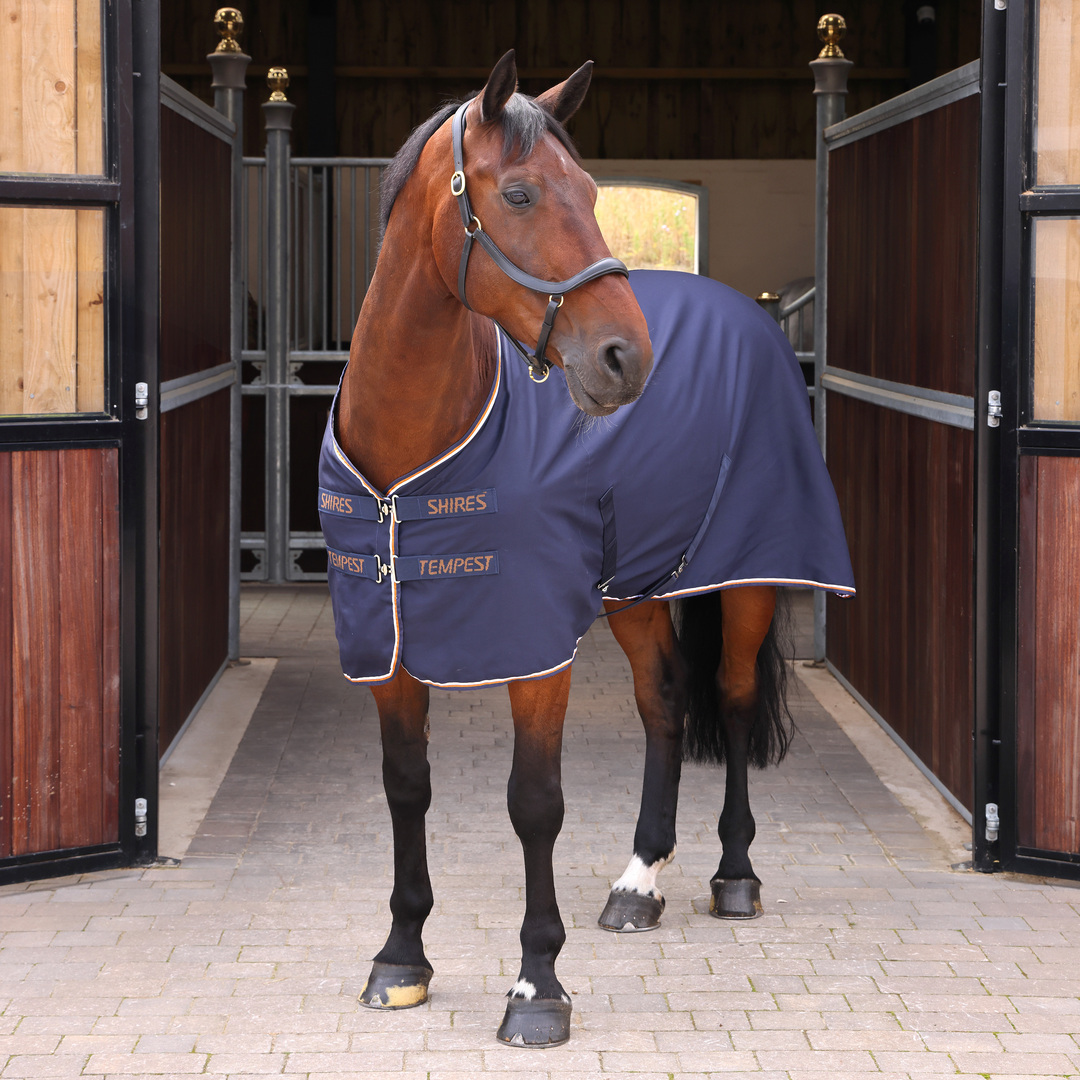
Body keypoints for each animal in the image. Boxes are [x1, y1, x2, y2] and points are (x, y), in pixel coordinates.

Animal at [319, 50, 854, 1047]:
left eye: (595, 192)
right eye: (520, 193)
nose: (625, 357)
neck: (414, 453)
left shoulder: (537, 650)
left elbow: (535, 803)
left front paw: (538, 988)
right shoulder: (389, 644)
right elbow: (406, 787)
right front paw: (401, 957)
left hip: (747, 575)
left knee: (727, 698)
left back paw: (733, 876)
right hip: (631, 589)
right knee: (664, 700)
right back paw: (639, 882)